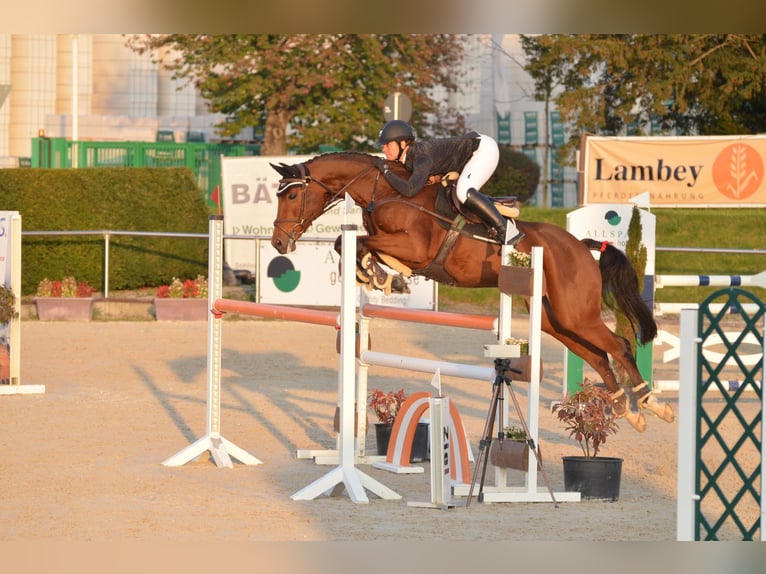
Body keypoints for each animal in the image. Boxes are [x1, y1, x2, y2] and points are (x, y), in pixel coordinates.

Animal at [268, 152, 672, 432]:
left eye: (291, 198)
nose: (277, 243)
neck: (384, 190)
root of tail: (583, 246)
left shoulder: (415, 247)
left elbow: (356, 242)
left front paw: (377, 275)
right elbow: (352, 244)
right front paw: (379, 276)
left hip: (576, 312)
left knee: (618, 345)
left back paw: (652, 404)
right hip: (554, 319)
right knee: (597, 355)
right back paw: (626, 410)